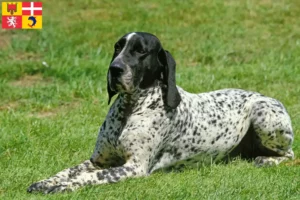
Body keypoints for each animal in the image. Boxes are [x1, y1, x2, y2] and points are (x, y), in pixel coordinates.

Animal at [27, 32, 294, 193]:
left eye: (140, 51)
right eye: (117, 47)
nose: (115, 69)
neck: (130, 109)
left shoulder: (134, 167)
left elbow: (91, 177)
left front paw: (65, 187)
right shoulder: (97, 161)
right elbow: (66, 171)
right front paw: (45, 182)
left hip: (263, 114)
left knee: (290, 155)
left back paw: (267, 160)